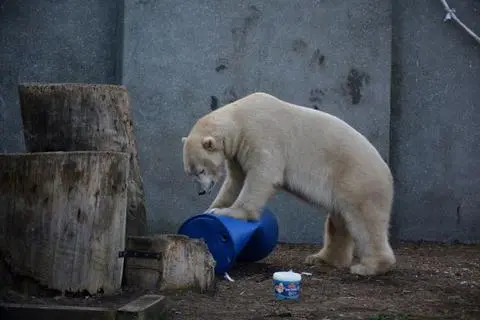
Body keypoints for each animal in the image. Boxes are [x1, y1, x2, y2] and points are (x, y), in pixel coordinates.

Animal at [182, 92, 396, 276]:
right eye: (190, 173)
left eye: (201, 170)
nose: (201, 192)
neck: (239, 118)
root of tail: (387, 171)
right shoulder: (237, 153)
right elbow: (235, 182)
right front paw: (212, 209)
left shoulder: (260, 134)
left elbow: (262, 175)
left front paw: (230, 212)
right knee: (338, 221)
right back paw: (322, 259)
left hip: (356, 179)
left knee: (364, 221)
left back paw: (369, 267)